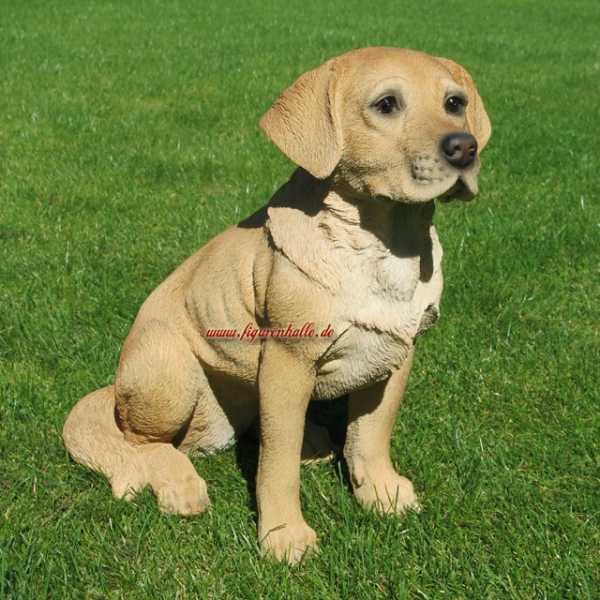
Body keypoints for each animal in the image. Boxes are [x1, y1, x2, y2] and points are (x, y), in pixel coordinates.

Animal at [63, 45, 490, 564]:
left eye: (455, 102)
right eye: (387, 104)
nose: (465, 147)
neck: (383, 245)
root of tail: (114, 389)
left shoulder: (396, 353)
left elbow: (371, 436)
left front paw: (382, 493)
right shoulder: (288, 361)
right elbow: (277, 462)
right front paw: (284, 535)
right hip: (168, 369)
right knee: (144, 441)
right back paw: (179, 484)